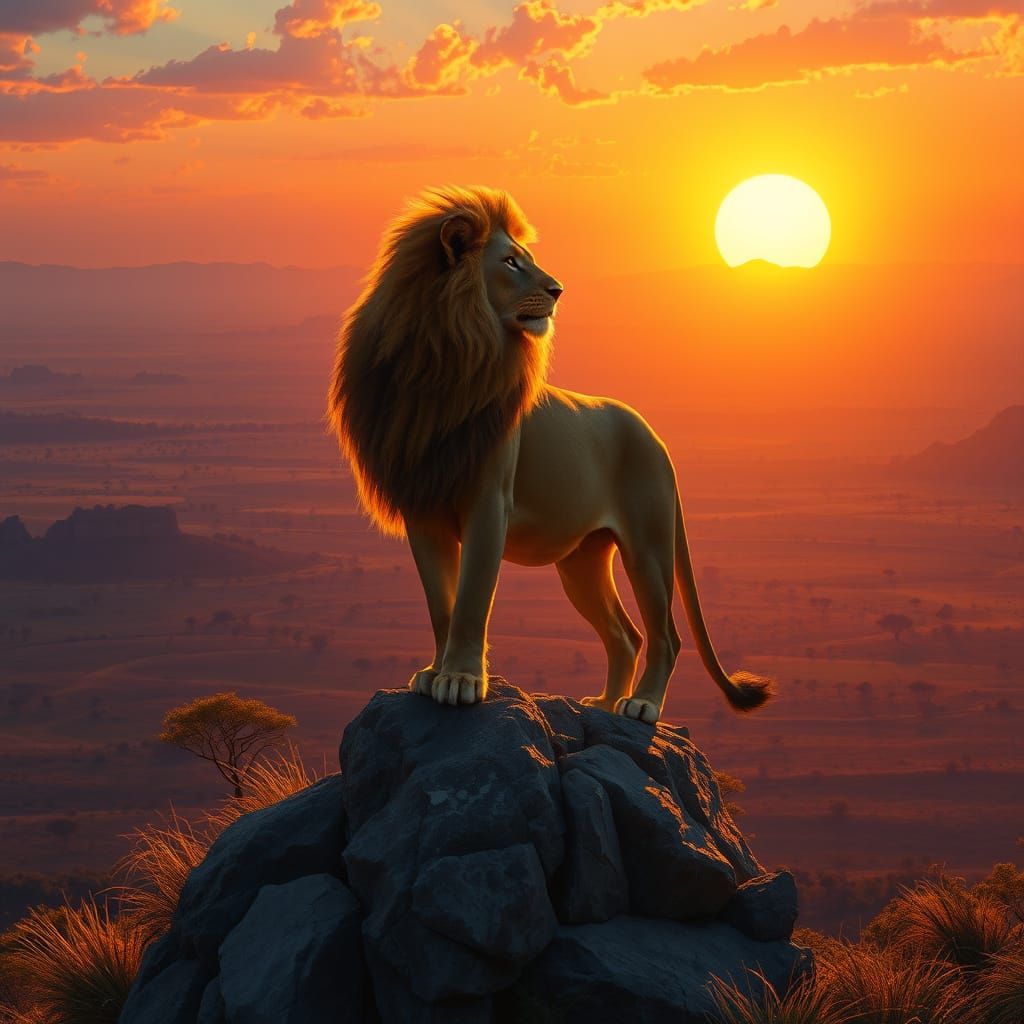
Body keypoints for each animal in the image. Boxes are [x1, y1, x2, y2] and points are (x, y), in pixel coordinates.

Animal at [327, 185, 773, 724]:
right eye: (511, 262)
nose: (559, 289)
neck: (442, 357)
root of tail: (654, 435)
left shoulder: (488, 502)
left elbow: (472, 599)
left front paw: (461, 680)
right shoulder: (423, 507)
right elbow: (442, 604)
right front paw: (435, 674)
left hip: (648, 544)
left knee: (666, 635)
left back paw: (641, 704)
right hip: (582, 560)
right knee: (626, 635)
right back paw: (603, 703)